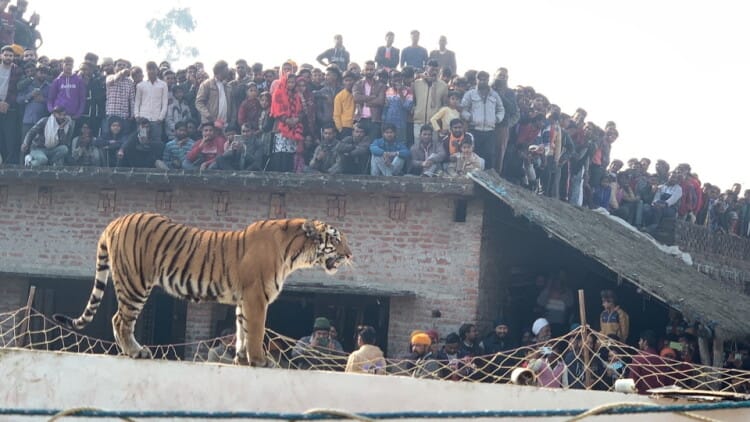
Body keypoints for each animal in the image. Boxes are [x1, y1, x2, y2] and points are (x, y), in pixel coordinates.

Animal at [54, 212, 352, 366]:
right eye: (336, 239)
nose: (350, 255)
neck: (295, 253)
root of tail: (115, 221)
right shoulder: (256, 296)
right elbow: (256, 331)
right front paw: (259, 360)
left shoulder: (244, 299)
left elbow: (242, 330)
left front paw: (242, 358)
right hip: (134, 283)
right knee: (120, 320)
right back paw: (136, 352)